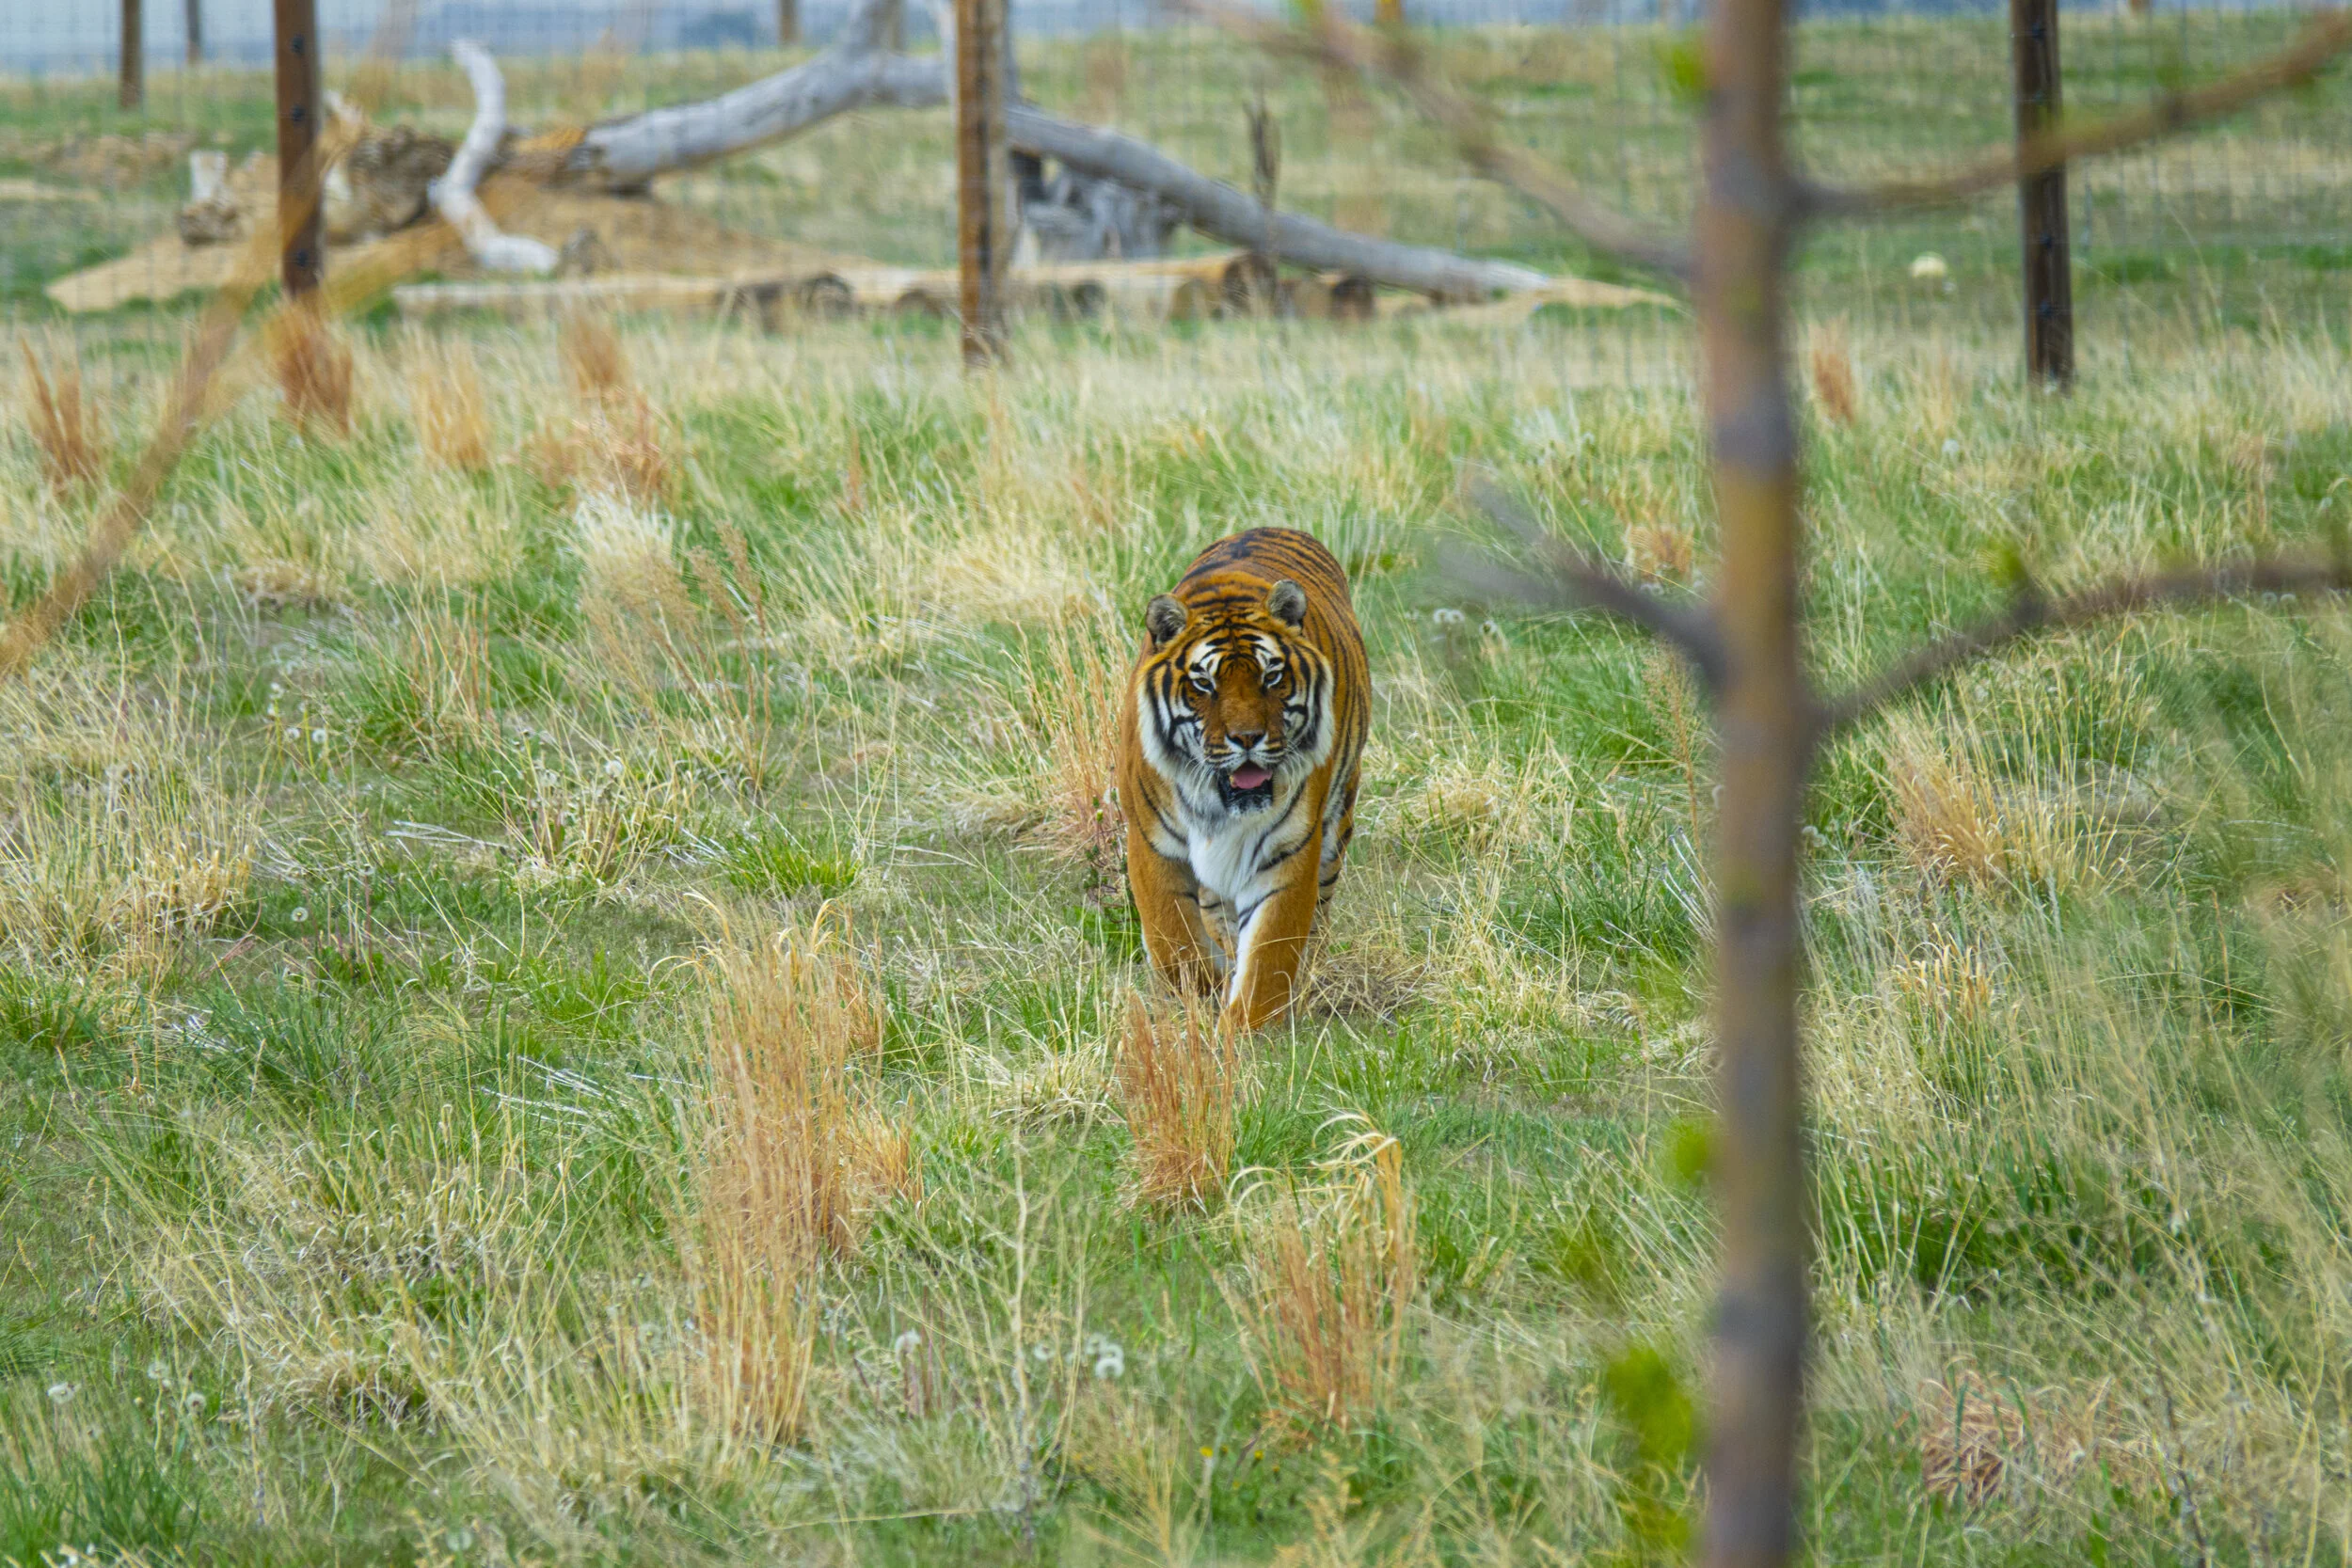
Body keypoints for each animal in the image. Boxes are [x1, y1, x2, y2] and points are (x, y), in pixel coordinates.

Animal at [1115, 527, 1371, 1034]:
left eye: (1272, 677)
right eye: (1204, 684)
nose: (1248, 738)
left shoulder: (1289, 848)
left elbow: (1270, 953)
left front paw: (1243, 1032)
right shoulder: (1151, 843)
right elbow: (1173, 942)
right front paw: (1202, 999)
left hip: (1337, 826)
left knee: (1318, 916)